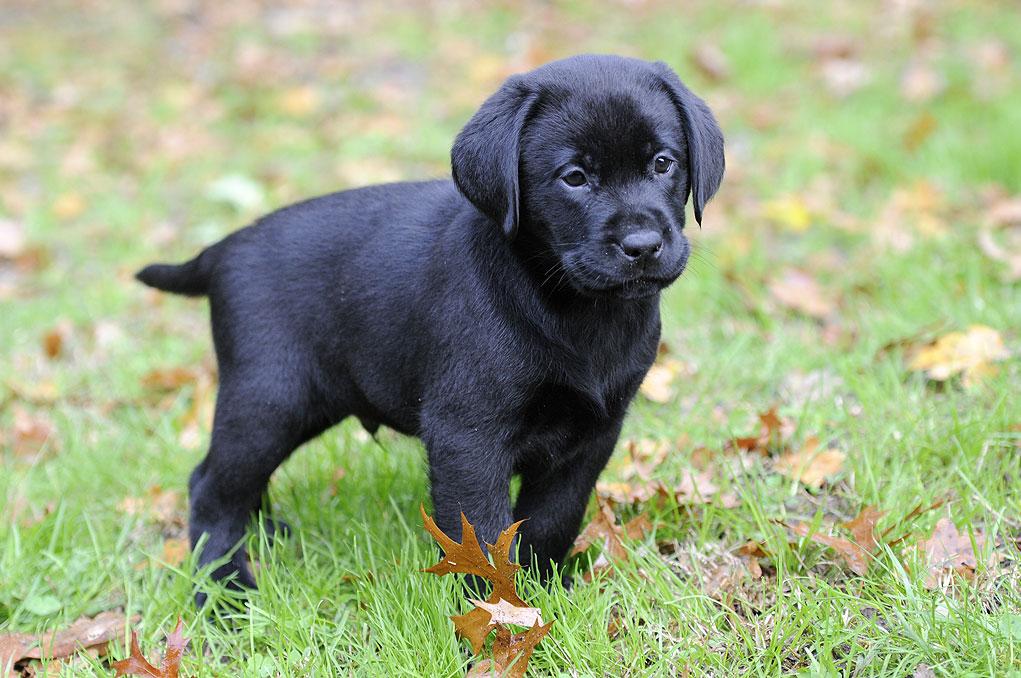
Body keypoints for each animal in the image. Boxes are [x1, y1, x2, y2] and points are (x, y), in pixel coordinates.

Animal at [137, 55, 726, 600]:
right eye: (575, 178)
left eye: (663, 163)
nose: (643, 246)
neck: (575, 309)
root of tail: (222, 250)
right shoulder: (467, 435)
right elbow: (484, 537)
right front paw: (503, 619)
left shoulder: (591, 435)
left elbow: (551, 520)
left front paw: (543, 591)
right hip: (270, 397)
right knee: (211, 487)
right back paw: (224, 591)